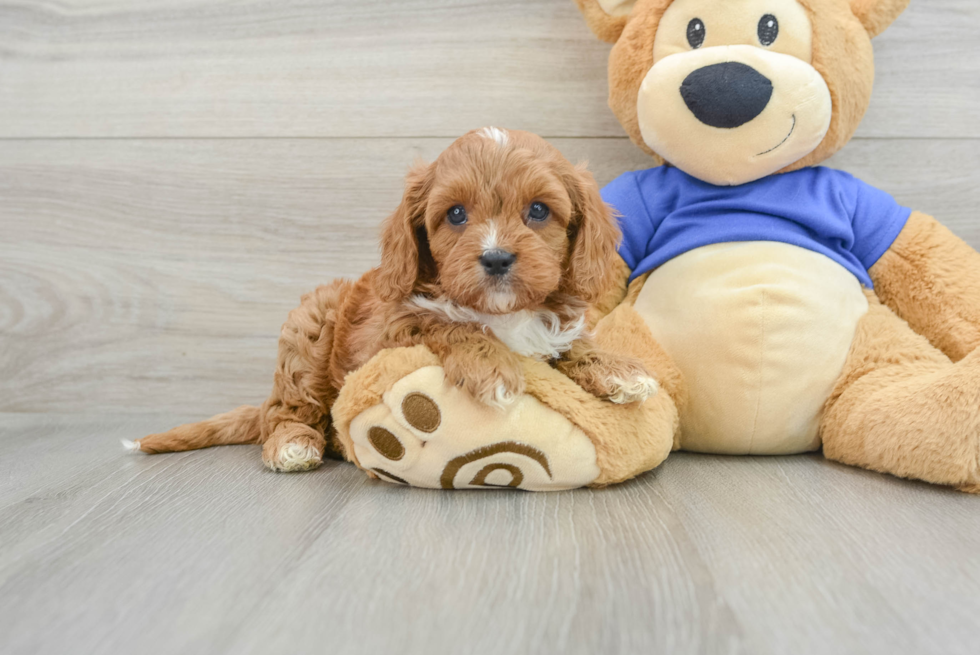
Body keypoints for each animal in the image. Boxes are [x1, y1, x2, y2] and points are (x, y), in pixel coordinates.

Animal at [126, 128, 656, 472]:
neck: (501, 312)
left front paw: (619, 370)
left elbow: (571, 343)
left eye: (539, 211)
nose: (497, 258)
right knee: (288, 410)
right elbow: (447, 322)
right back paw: (294, 446)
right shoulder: (388, 330)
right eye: (456, 214)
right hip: (310, 327)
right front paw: (492, 368)